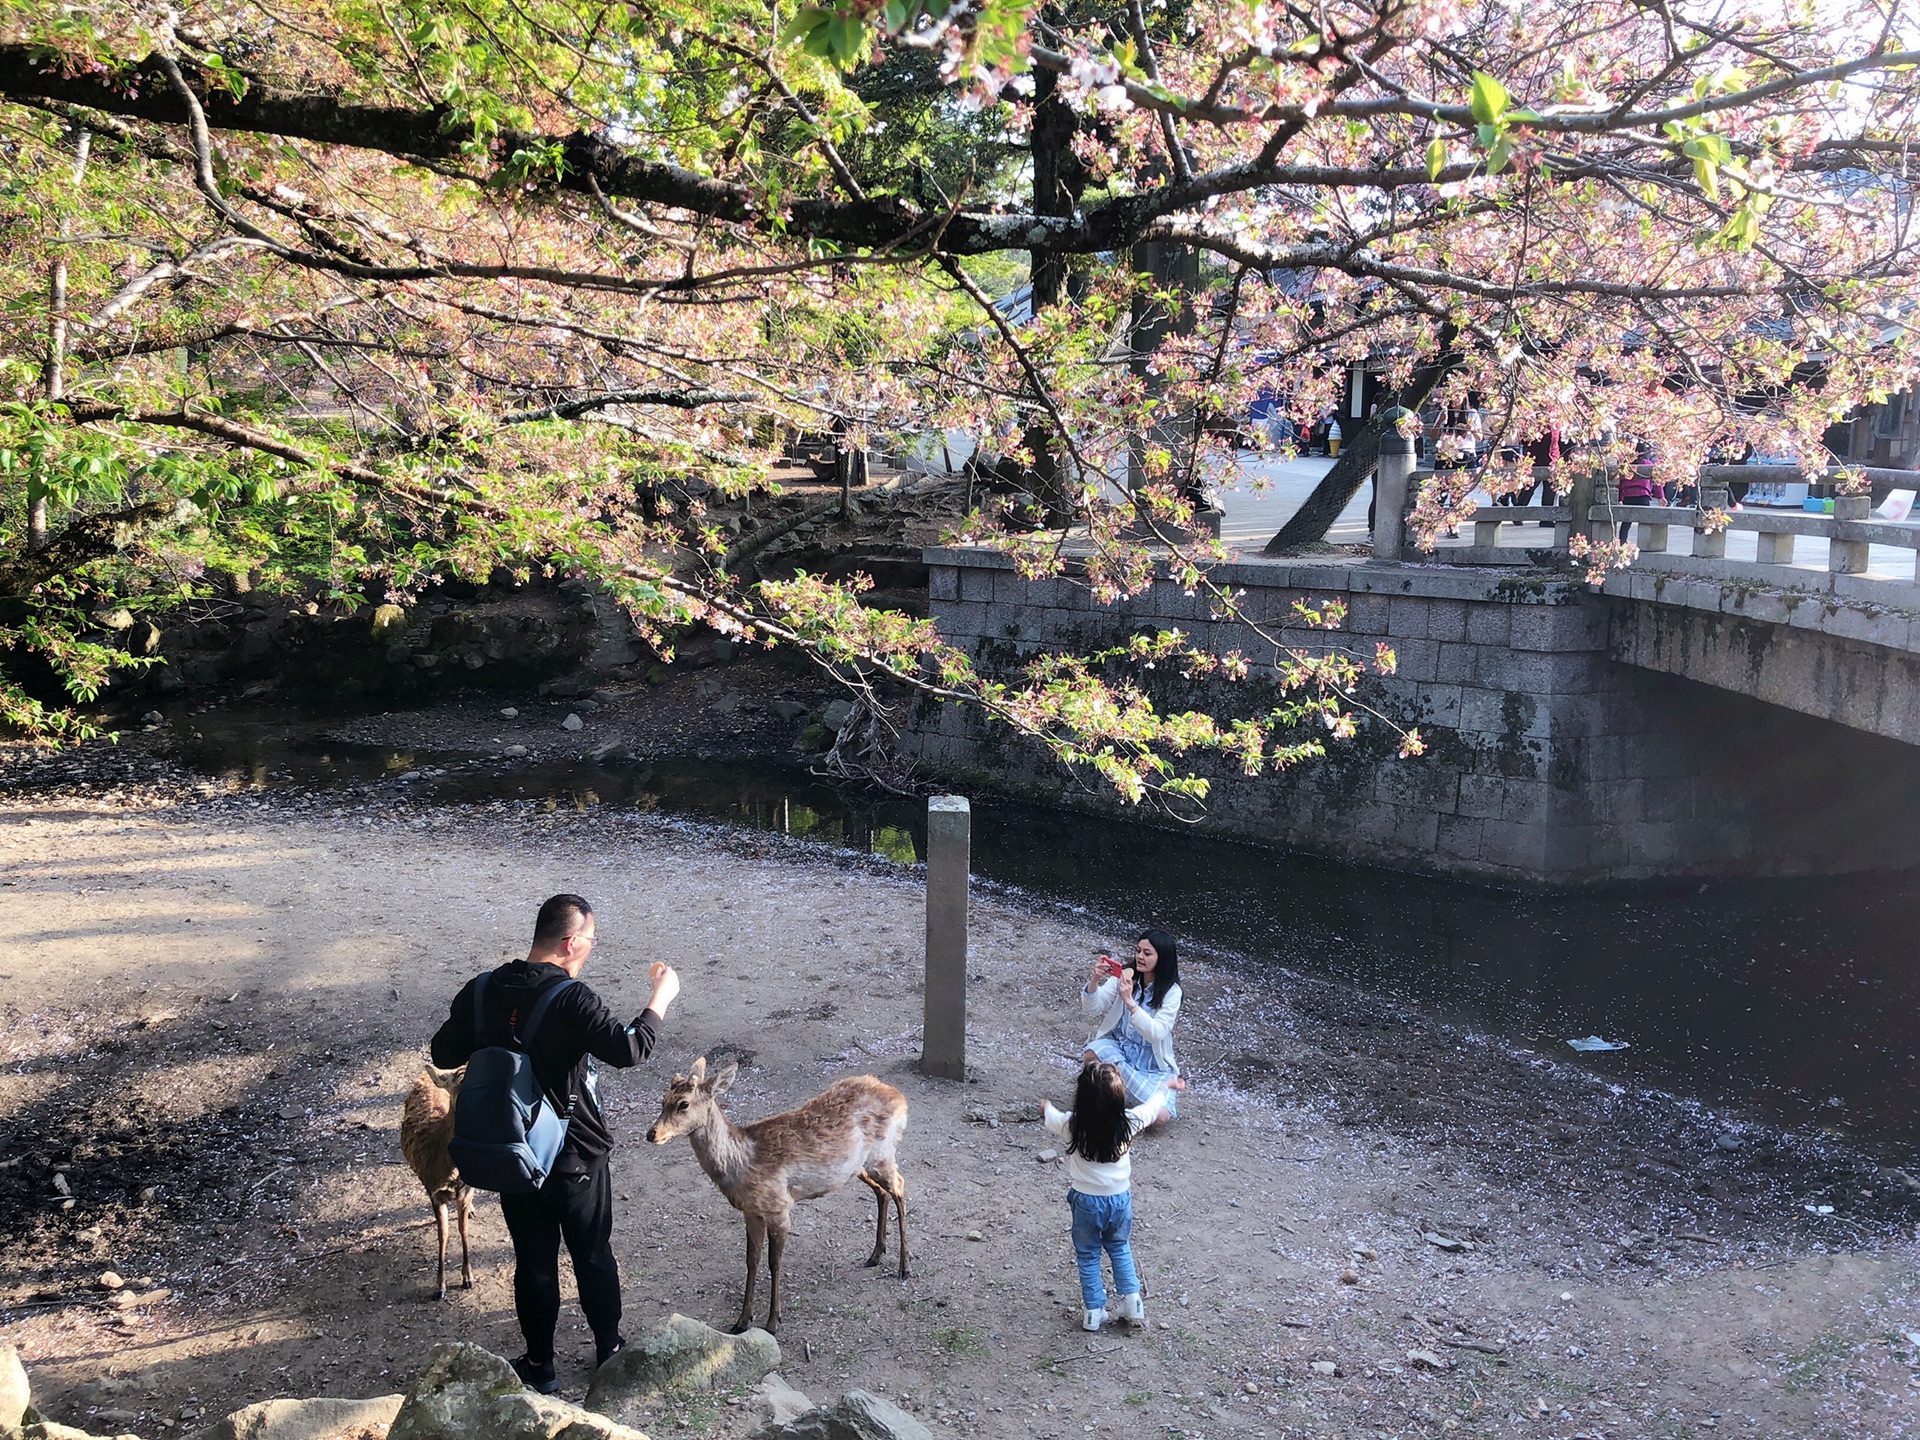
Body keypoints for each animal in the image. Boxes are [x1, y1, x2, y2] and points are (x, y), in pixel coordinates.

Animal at [397, 1067, 472, 1305]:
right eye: (461, 1080)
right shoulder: (434, 1192)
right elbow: (444, 1234)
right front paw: (439, 1287)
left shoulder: (466, 1190)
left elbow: (463, 1229)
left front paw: (468, 1278)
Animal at [648, 1052, 910, 1336]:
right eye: (662, 1100)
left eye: (683, 1104)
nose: (652, 1133)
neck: (742, 1163)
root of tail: (900, 1098)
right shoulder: (751, 1212)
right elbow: (751, 1261)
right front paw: (742, 1321)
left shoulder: (778, 1207)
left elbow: (774, 1263)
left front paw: (773, 1321)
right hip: (859, 1166)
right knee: (882, 1193)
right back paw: (876, 1254)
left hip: (883, 1154)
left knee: (900, 1186)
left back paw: (904, 1266)